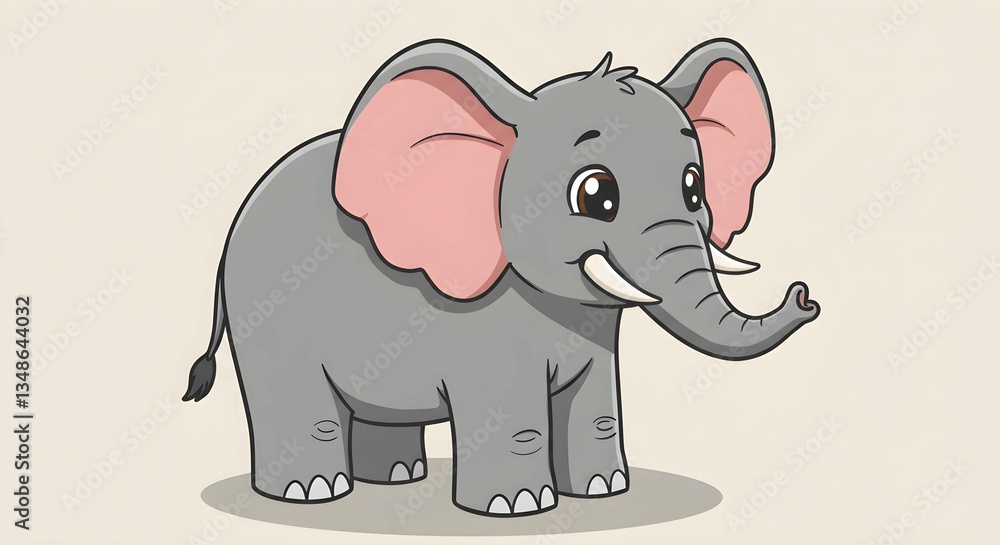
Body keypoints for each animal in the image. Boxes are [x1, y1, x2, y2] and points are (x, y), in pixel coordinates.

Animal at [182, 38, 819, 517]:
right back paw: (310, 493)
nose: (805, 296)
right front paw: (519, 507)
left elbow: (596, 406)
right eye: (595, 195)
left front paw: (602, 492)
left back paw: (398, 477)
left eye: (694, 187)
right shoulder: (486, 328)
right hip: (265, 316)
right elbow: (510, 409)